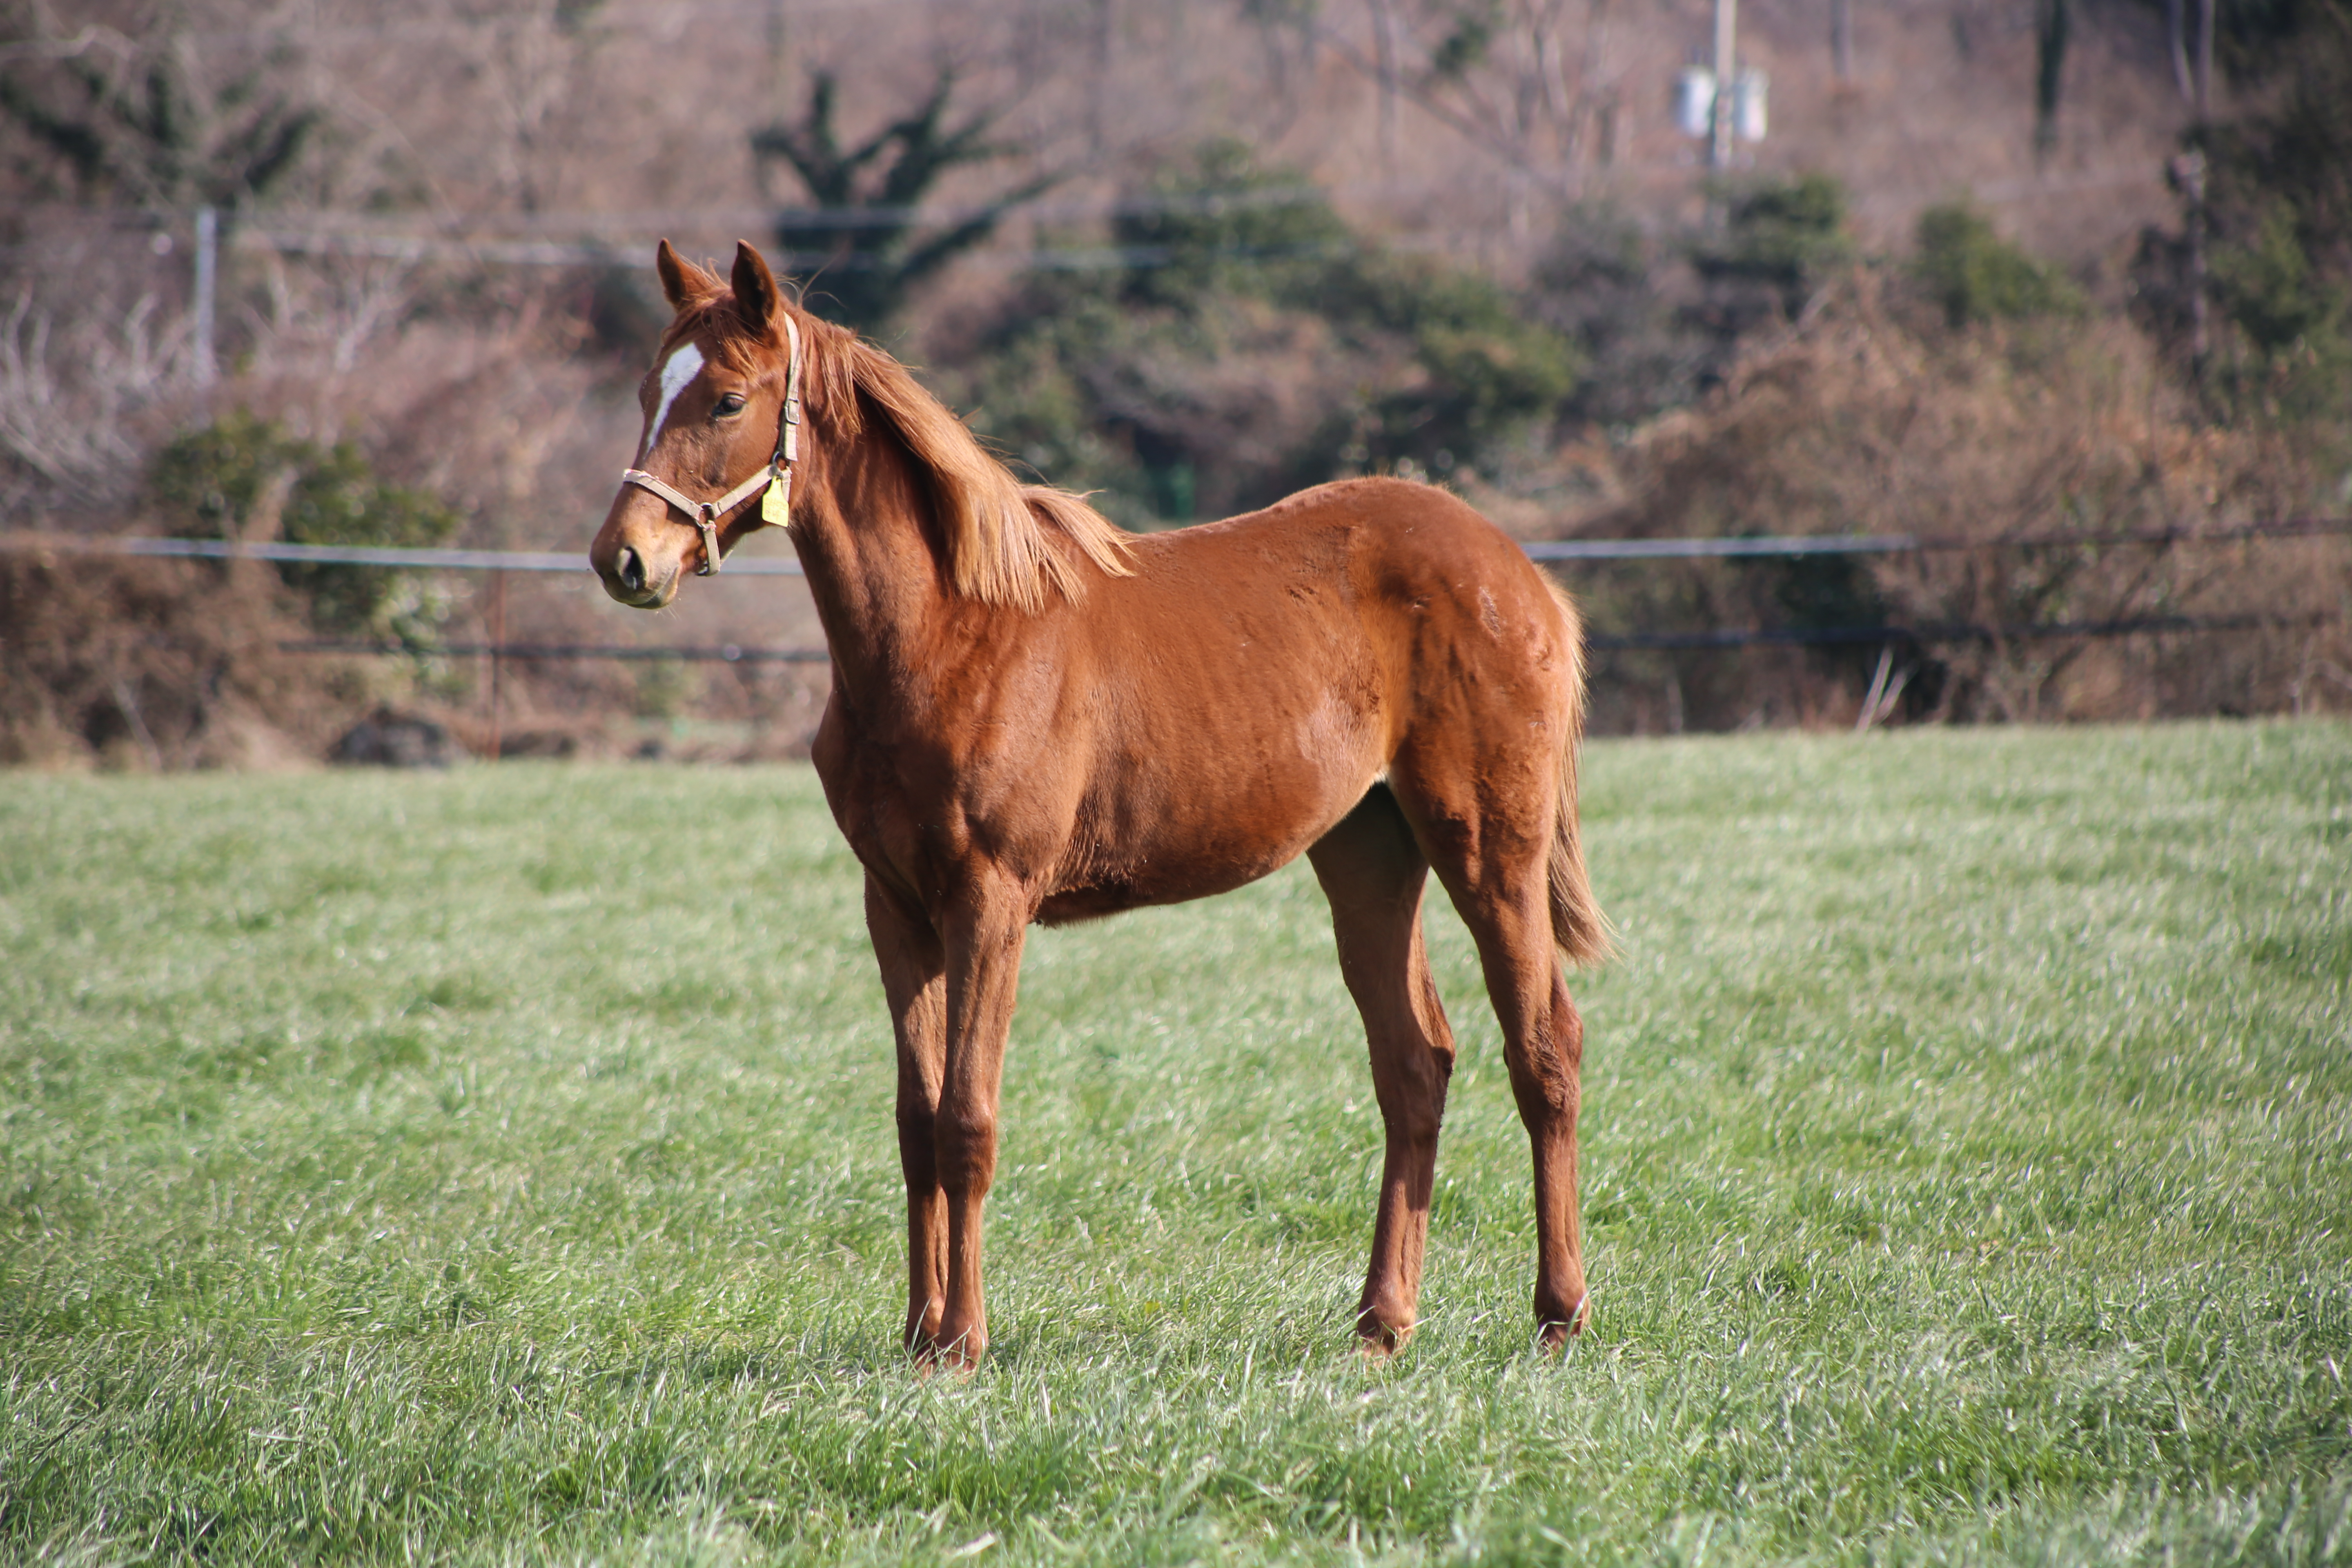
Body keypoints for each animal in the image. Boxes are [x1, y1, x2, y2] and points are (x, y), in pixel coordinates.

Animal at [592, 240, 1618, 1363]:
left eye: (728, 398)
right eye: (648, 391)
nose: (623, 559)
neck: (952, 632)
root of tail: (1521, 574)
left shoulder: (990, 900)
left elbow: (967, 1118)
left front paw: (961, 1342)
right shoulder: (895, 906)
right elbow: (914, 1120)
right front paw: (916, 1334)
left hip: (1488, 848)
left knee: (1544, 1051)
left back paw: (1558, 1312)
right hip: (1367, 855)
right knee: (1414, 1066)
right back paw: (1381, 1324)